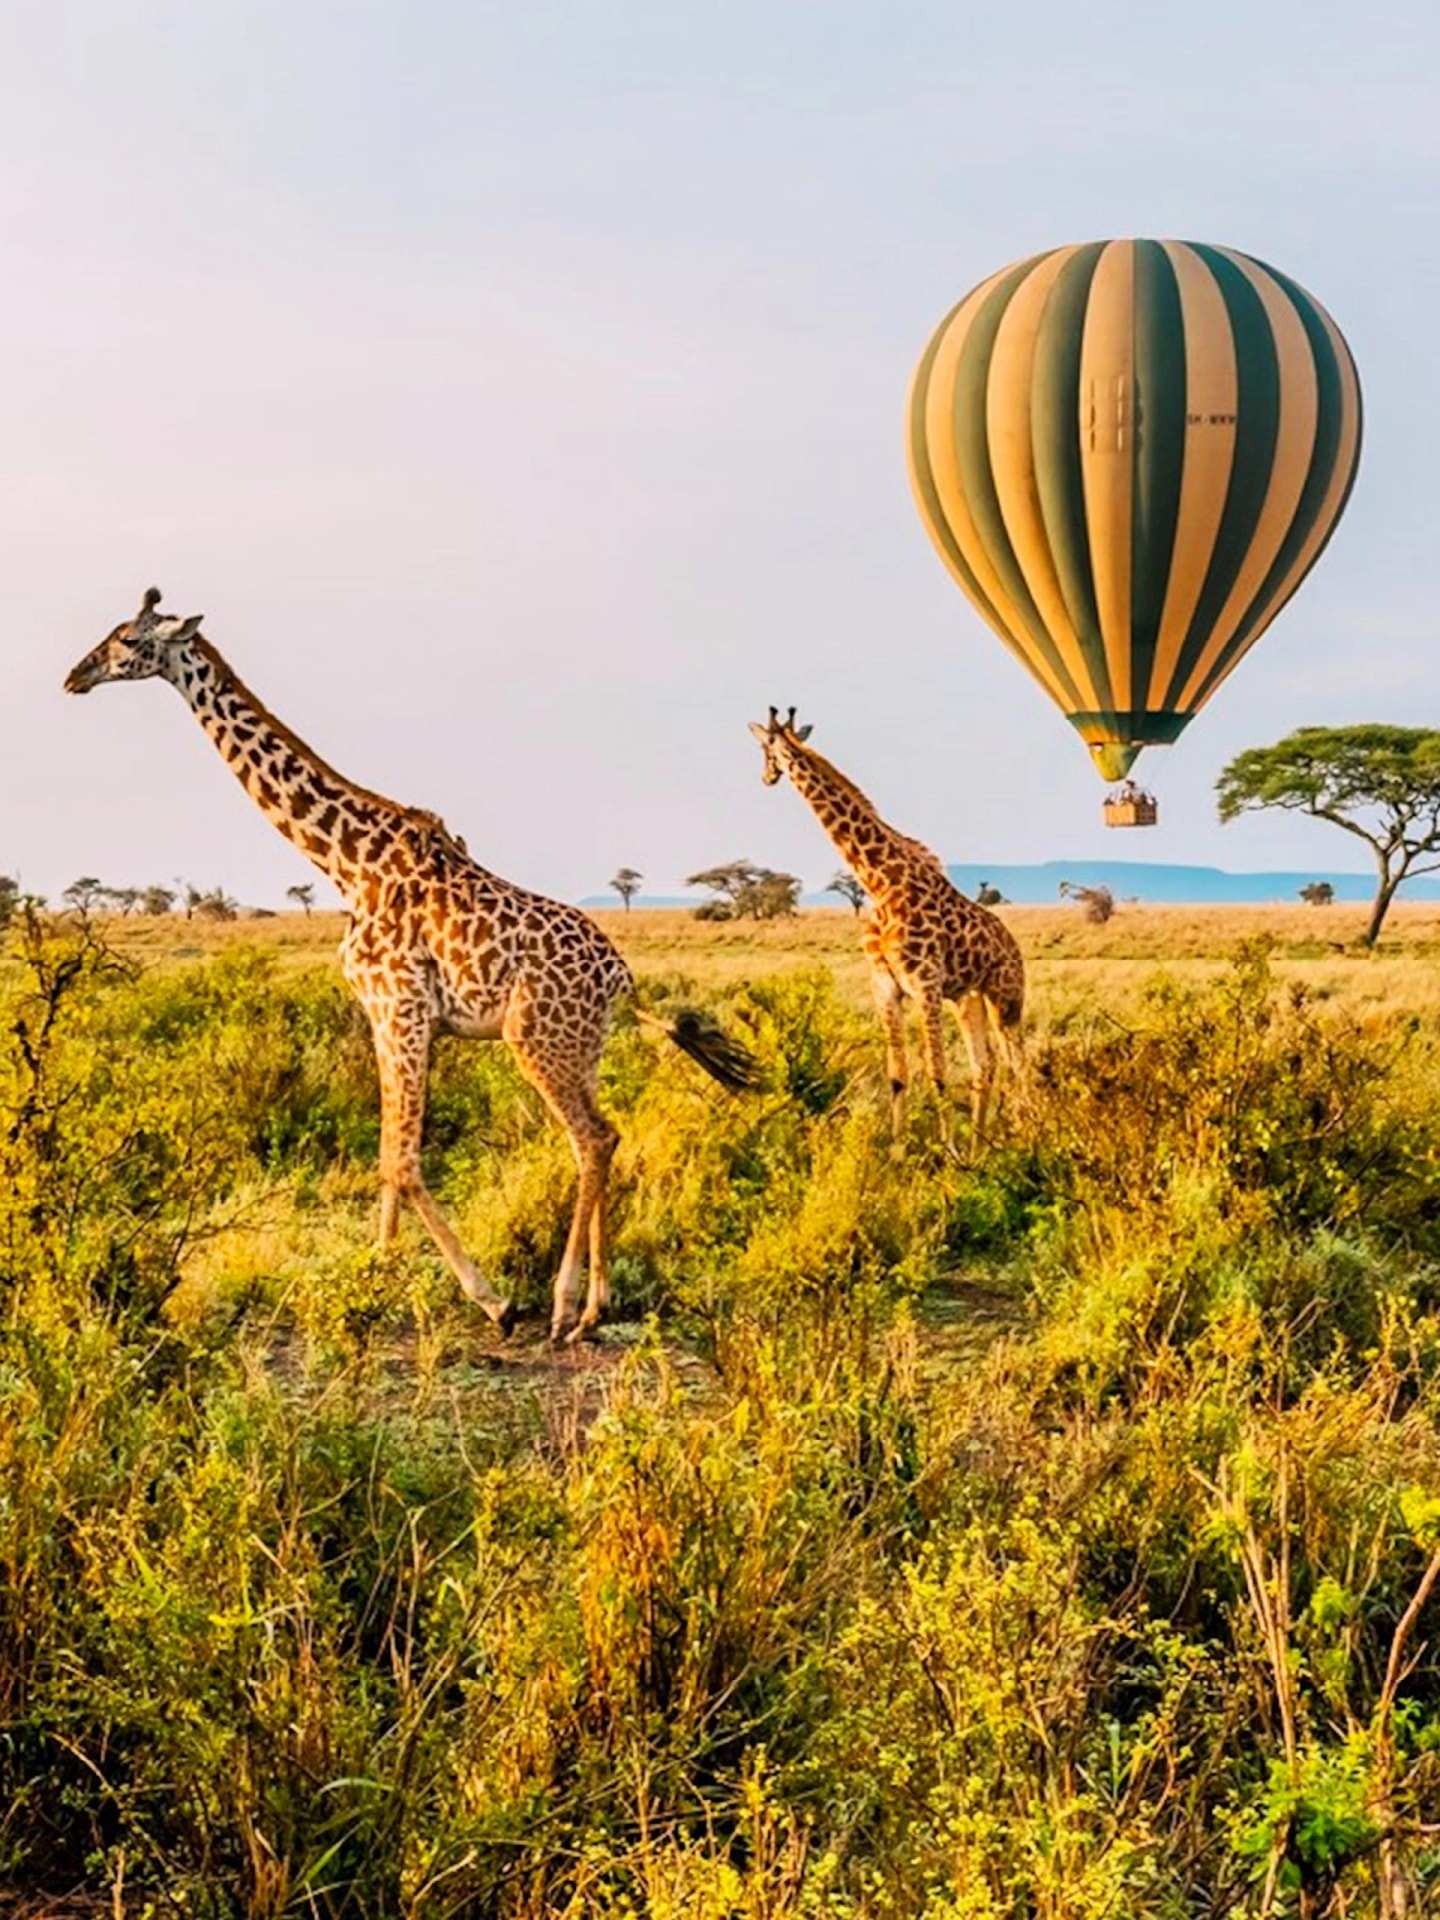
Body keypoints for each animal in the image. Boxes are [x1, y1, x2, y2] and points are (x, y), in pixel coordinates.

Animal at [65, 589, 758, 1342]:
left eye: (129, 641)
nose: (74, 676)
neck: (344, 863)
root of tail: (622, 978)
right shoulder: (382, 1014)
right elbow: (385, 1157)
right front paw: (374, 1274)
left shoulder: (401, 1007)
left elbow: (402, 1159)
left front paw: (490, 1299)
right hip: (583, 1046)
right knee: (603, 1136)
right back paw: (595, 1306)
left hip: (534, 1037)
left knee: (594, 1138)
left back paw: (563, 1307)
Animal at [749, 707, 1024, 1140]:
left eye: (765, 748)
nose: (766, 777)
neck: (879, 883)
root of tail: (1014, 947)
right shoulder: (886, 986)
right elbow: (898, 1075)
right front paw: (899, 1148)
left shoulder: (925, 984)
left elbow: (937, 1073)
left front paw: (946, 1151)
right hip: (968, 998)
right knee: (986, 1066)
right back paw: (983, 1146)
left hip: (1006, 997)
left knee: (1019, 1064)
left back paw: (1027, 1133)